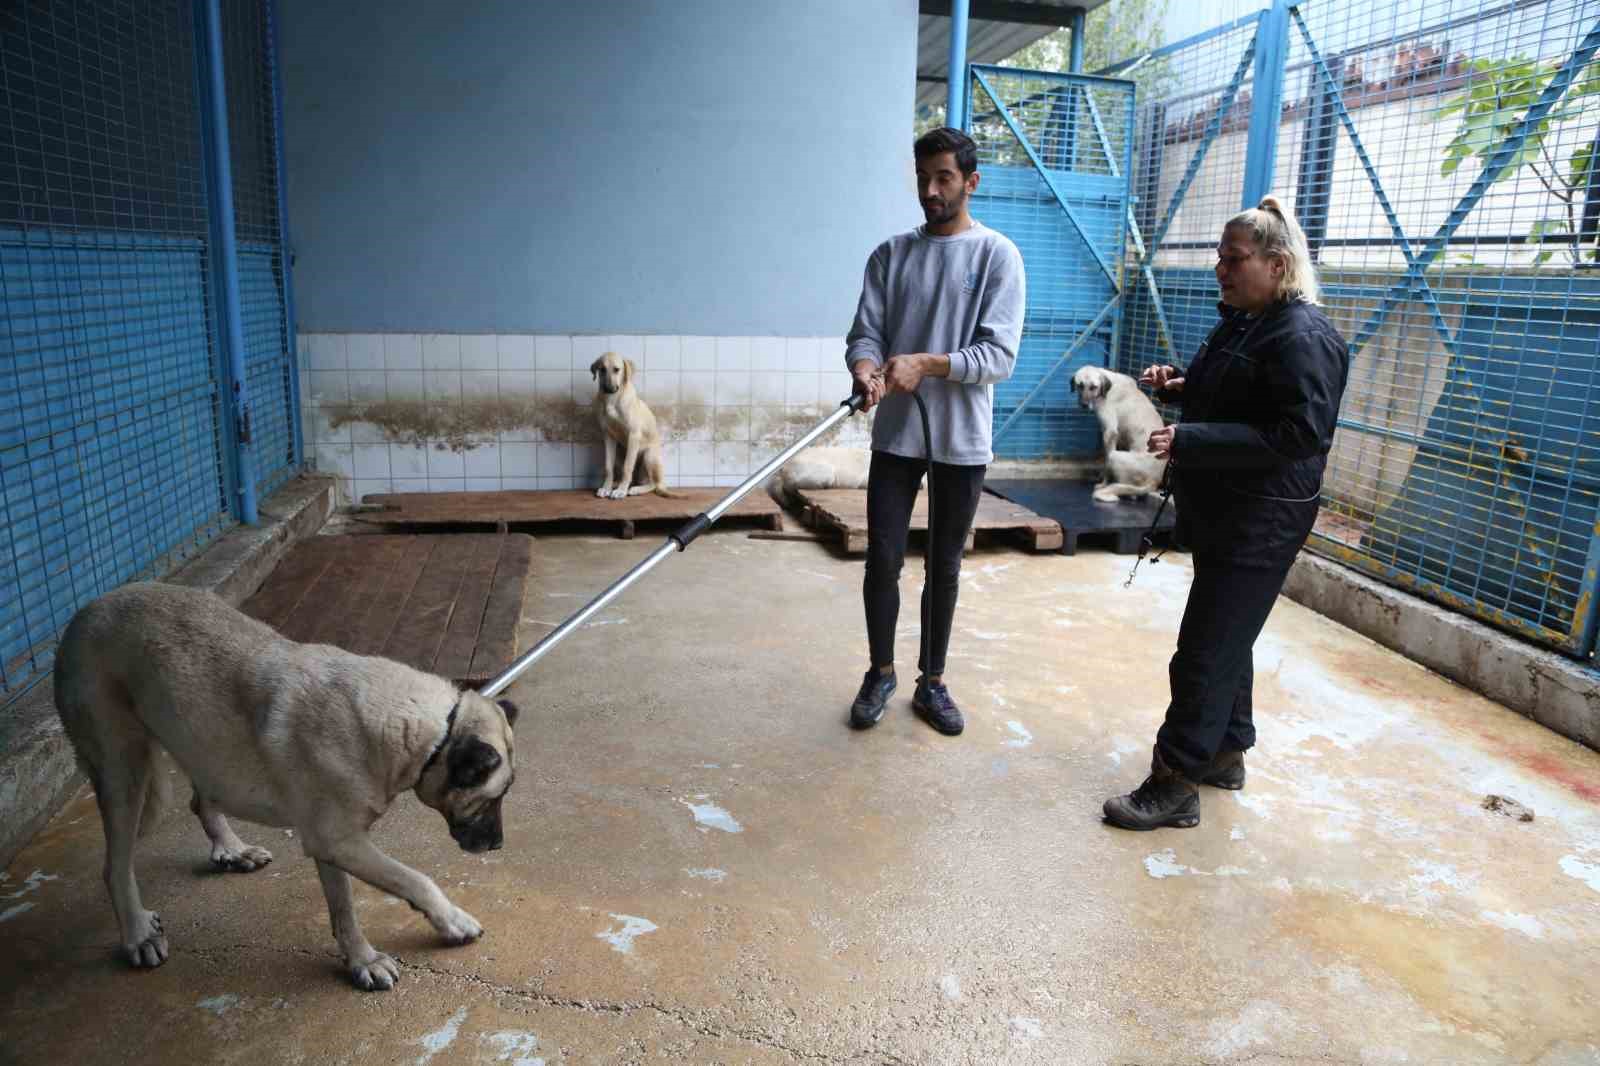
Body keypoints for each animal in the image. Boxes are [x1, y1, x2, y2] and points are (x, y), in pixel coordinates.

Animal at [53, 582, 518, 985]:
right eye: (491, 799)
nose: (497, 846)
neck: (425, 729)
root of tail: (83, 613)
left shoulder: (334, 845)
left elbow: (343, 909)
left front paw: (360, 959)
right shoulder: (340, 841)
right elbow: (414, 879)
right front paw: (450, 920)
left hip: (202, 744)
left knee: (202, 800)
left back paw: (231, 849)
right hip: (123, 771)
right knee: (114, 865)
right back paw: (136, 932)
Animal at [592, 350, 684, 496]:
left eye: (617, 369)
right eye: (602, 369)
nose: (608, 389)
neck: (613, 400)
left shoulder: (633, 434)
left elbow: (627, 467)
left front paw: (621, 491)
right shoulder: (608, 435)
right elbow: (608, 467)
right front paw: (606, 487)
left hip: (649, 457)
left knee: (654, 484)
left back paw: (635, 489)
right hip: (620, 453)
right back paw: (617, 484)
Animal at [1075, 363, 1164, 499]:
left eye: (1093, 387)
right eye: (1080, 385)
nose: (1084, 405)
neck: (1108, 388)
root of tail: (1154, 481)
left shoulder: (1110, 433)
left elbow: (1106, 464)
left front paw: (1104, 482)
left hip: (1116, 456)